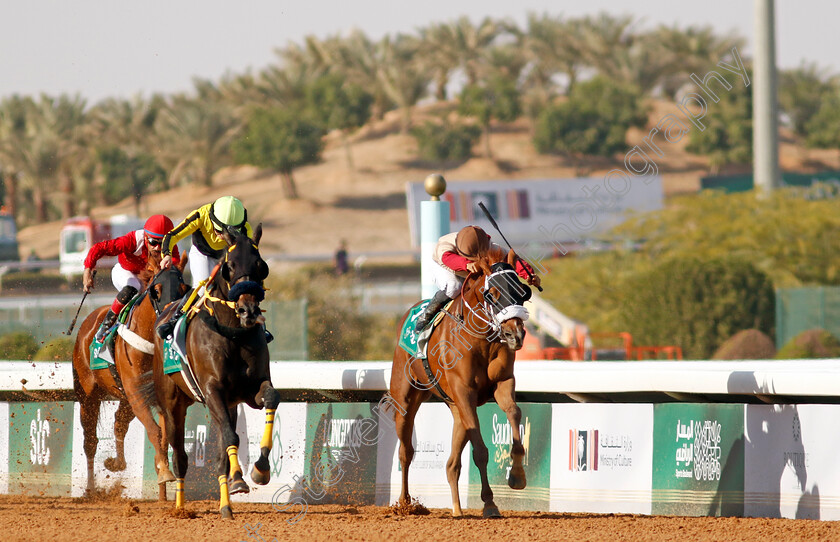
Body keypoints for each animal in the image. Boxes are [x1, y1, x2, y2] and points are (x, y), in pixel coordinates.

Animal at [72, 260, 189, 502]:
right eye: (156, 291)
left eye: (184, 290)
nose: (170, 320)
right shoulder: (137, 393)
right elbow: (156, 432)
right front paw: (164, 473)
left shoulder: (159, 396)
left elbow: (164, 436)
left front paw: (163, 481)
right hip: (88, 395)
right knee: (90, 441)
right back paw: (91, 490)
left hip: (124, 397)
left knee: (119, 423)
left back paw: (116, 463)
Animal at [150, 226, 278, 524]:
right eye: (229, 266)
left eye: (260, 265)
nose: (248, 310)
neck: (233, 332)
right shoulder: (212, 391)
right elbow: (231, 438)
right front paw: (240, 477)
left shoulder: (249, 390)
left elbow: (271, 398)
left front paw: (260, 469)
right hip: (173, 404)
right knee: (180, 457)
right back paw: (181, 507)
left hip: (226, 405)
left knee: (220, 450)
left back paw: (226, 503)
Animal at [390, 249, 536, 520]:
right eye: (492, 294)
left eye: (523, 292)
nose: (515, 335)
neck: (481, 340)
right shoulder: (464, 391)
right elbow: (480, 452)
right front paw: (489, 503)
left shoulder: (502, 383)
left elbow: (514, 413)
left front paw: (517, 476)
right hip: (405, 400)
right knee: (406, 452)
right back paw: (405, 503)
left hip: (455, 406)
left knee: (451, 464)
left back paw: (457, 509)